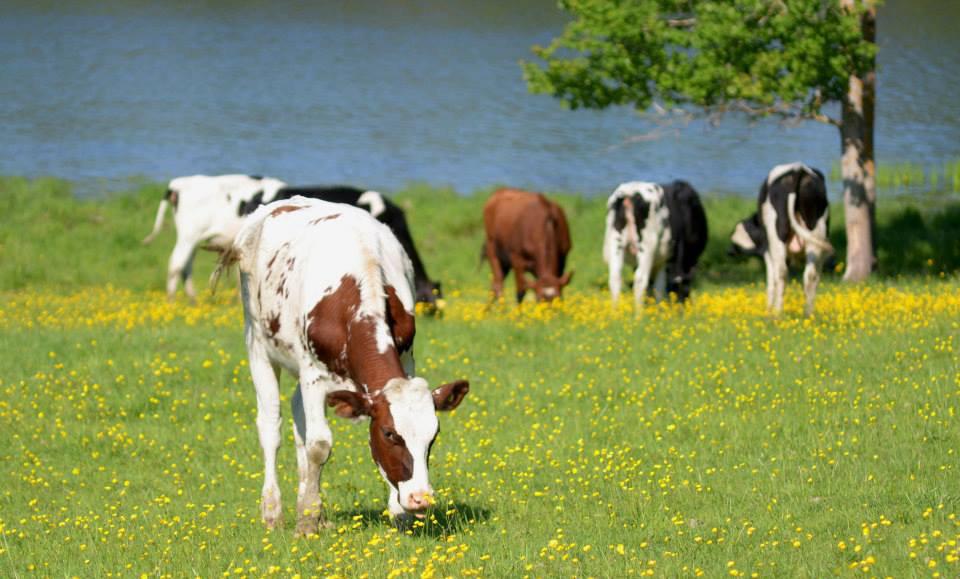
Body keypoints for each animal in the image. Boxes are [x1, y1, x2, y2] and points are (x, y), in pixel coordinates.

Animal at [141, 173, 286, 302]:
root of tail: (177, 184)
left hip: (193, 240)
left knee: (186, 266)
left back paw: (193, 299)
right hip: (188, 236)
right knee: (175, 265)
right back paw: (172, 301)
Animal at [604, 180, 708, 308]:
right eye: (682, 291)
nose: (681, 309)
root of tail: (630, 192)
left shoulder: (661, 259)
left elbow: (655, 286)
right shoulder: (665, 259)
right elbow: (659, 287)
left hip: (616, 243)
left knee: (615, 278)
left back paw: (615, 311)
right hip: (647, 246)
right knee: (640, 279)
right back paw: (639, 312)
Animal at [732, 162, 828, 318]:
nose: (730, 251)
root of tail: (798, 169)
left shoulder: (767, 250)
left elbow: (771, 279)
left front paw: (768, 309)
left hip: (777, 235)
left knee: (781, 273)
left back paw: (777, 312)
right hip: (817, 232)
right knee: (811, 275)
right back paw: (808, 313)